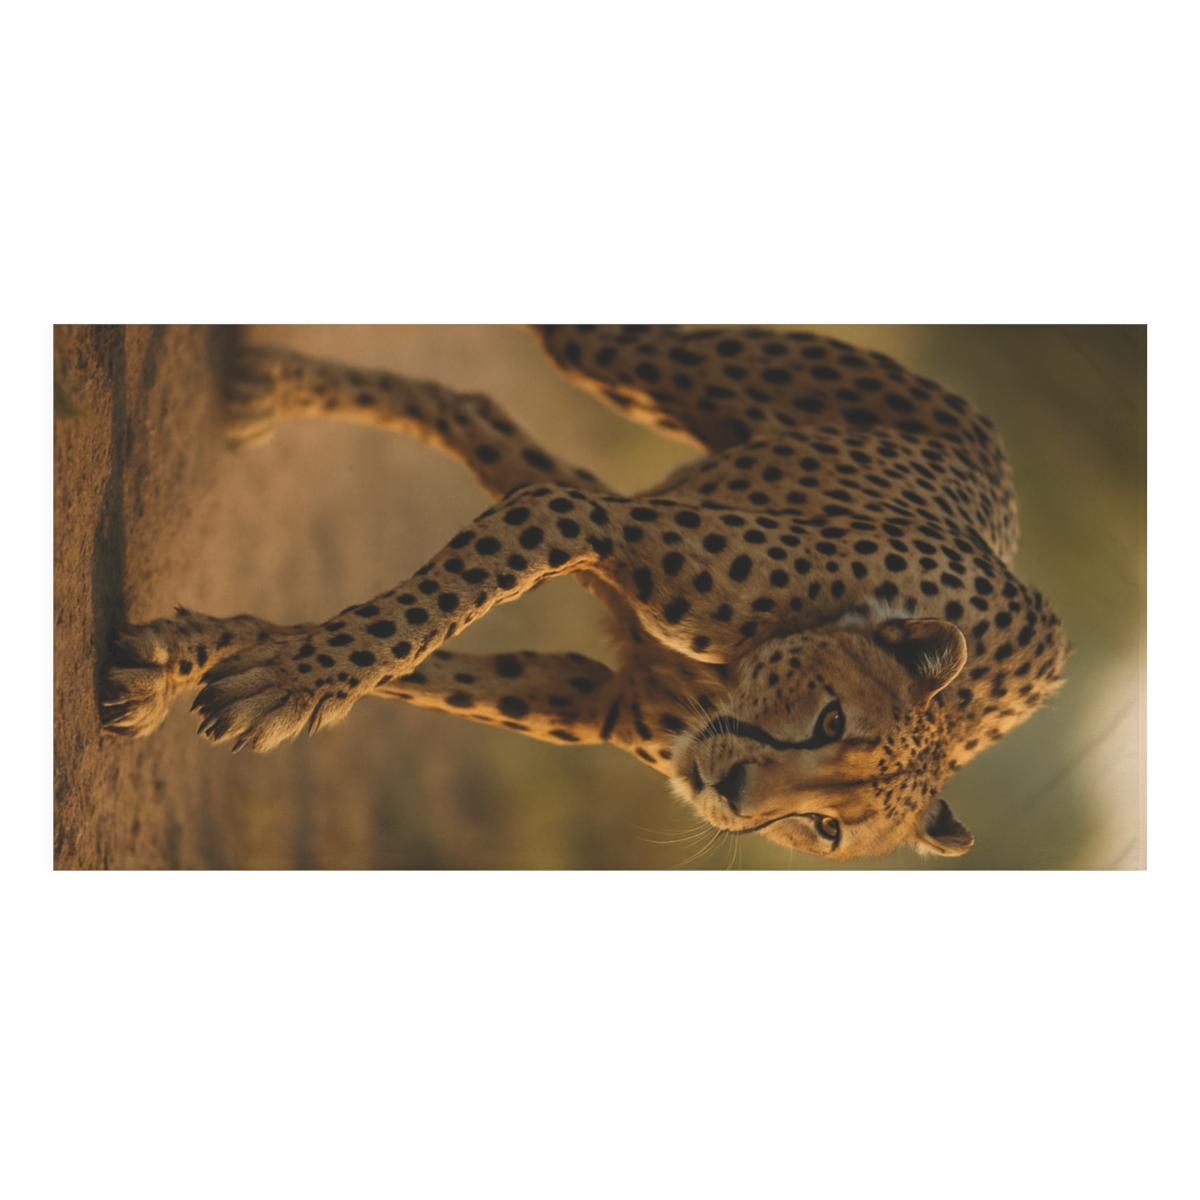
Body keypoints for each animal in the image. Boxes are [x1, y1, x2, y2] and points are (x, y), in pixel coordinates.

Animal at [100, 325, 1069, 861]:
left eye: (830, 830)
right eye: (833, 720)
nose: (731, 792)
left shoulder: (586, 695)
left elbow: (422, 669)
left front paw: (207, 661)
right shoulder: (580, 519)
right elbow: (416, 620)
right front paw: (293, 677)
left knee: (473, 408)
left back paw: (268, 386)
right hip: (633, 363)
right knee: (574, 331)